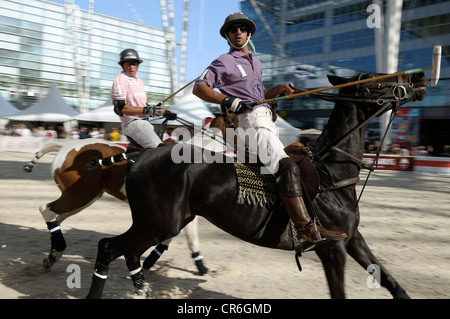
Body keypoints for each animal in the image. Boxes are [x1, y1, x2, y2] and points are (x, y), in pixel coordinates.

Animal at [85, 71, 428, 298]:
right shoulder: (331, 249)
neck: (331, 171)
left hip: (163, 220)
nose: (419, 77)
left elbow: (390, 280)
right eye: (377, 81)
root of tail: (140, 155)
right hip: (157, 222)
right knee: (108, 247)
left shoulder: (353, 239)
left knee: (129, 251)